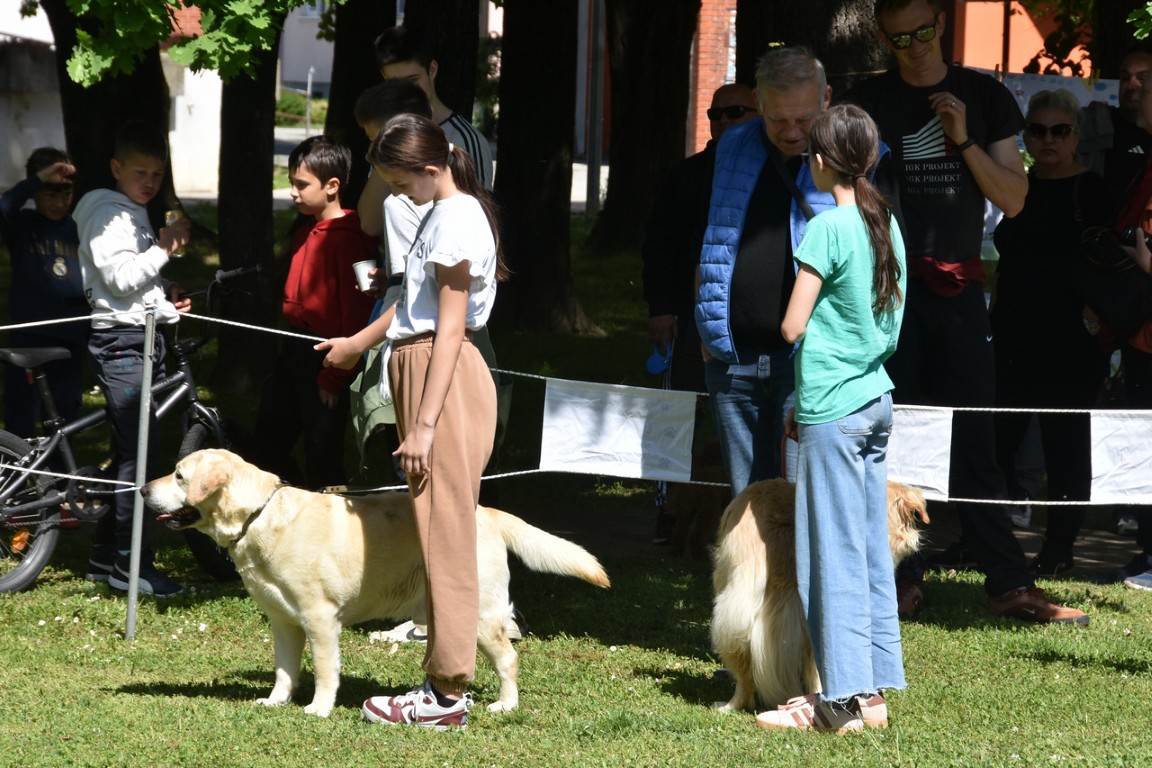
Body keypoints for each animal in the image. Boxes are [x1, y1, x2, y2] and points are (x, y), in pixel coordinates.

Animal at [141, 449, 610, 717]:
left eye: (179, 475)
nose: (143, 489)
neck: (259, 516)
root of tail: (490, 512)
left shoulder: (320, 620)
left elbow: (325, 670)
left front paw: (318, 709)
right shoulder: (284, 622)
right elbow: (285, 669)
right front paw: (276, 701)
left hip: (478, 615)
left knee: (509, 659)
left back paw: (505, 704)